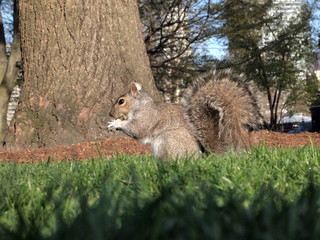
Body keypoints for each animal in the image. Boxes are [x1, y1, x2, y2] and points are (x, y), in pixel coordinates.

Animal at [107, 69, 255, 161]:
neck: (140, 105)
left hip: (167, 140)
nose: (110, 113)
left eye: (121, 101)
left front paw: (115, 123)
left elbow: (136, 128)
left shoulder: (147, 117)